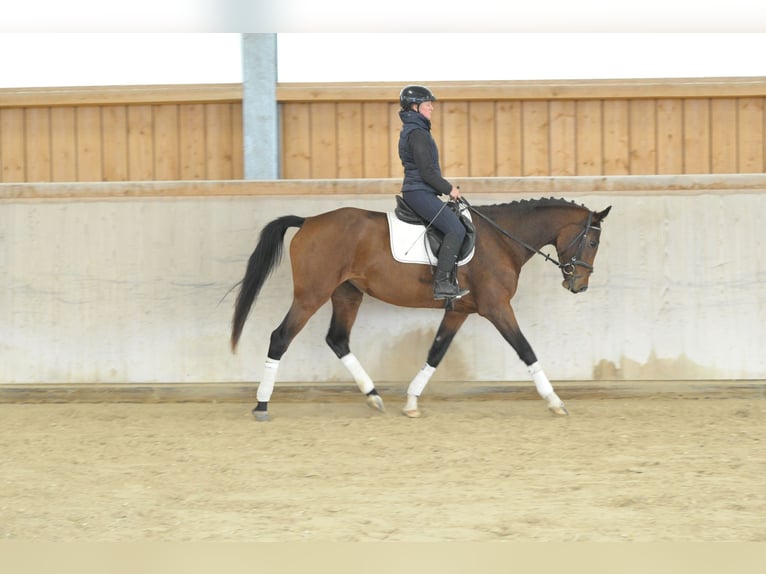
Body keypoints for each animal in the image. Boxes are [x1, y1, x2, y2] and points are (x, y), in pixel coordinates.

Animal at [230, 196, 611, 421]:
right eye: (592, 242)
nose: (578, 285)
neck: (501, 239)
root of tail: (309, 220)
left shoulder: (459, 310)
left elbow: (436, 352)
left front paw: (412, 401)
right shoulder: (496, 306)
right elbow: (526, 349)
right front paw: (555, 401)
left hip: (346, 295)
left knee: (337, 340)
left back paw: (373, 396)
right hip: (312, 294)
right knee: (280, 338)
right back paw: (262, 404)